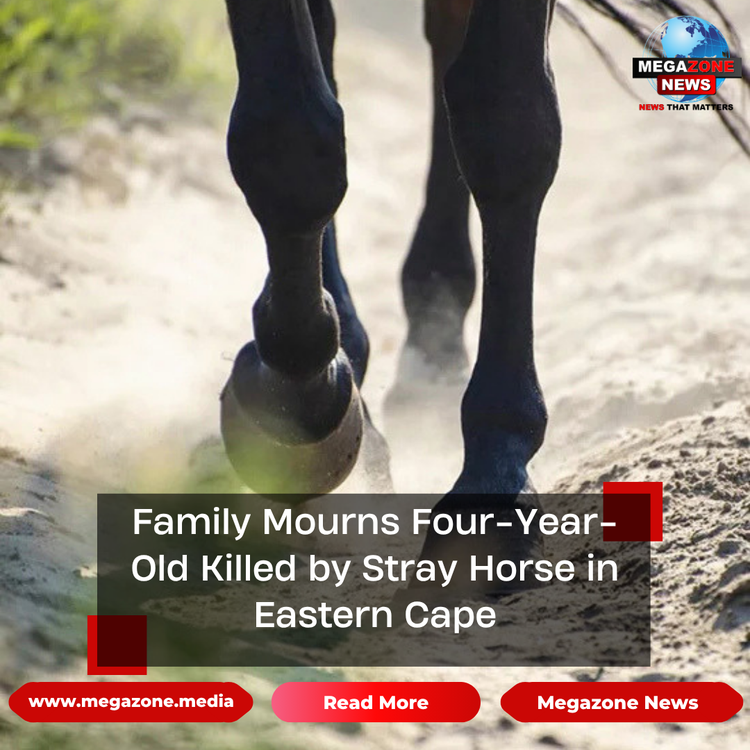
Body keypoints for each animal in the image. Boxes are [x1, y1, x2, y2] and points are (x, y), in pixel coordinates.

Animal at [218, 0, 748, 575]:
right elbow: (287, 133)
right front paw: (301, 398)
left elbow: (504, 117)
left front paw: (493, 484)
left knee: (445, 44)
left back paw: (434, 332)